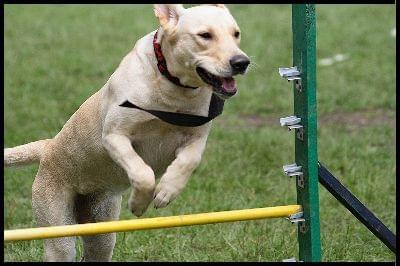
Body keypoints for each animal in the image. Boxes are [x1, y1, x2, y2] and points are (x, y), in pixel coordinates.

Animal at [4, 3, 248, 262]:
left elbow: (188, 162)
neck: (171, 89)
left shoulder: (196, 139)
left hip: (102, 231)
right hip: (58, 225)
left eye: (236, 34)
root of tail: (48, 147)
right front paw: (140, 203)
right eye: (205, 35)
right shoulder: (115, 136)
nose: (242, 62)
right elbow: (142, 172)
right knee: (62, 246)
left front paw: (166, 192)